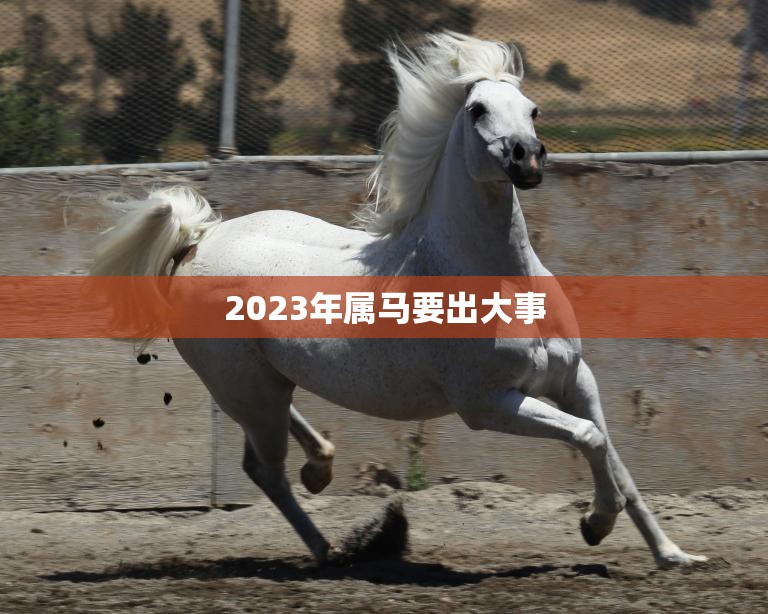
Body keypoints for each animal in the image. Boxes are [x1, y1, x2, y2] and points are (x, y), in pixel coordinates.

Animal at [91, 32, 706, 568]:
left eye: (532, 110)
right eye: (478, 109)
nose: (526, 158)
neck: (496, 280)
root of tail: (197, 242)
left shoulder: (575, 378)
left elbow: (613, 456)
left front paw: (674, 556)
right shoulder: (489, 404)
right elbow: (589, 438)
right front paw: (595, 524)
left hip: (262, 381)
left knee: (278, 436)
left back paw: (322, 470)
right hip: (242, 386)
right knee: (264, 469)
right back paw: (331, 550)